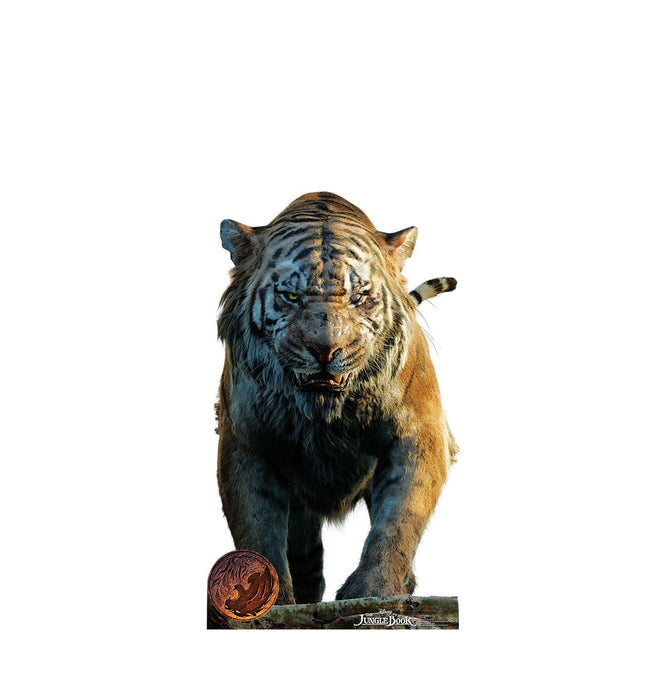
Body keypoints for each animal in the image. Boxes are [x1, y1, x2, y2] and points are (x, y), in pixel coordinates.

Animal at [215, 191, 457, 605]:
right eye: (290, 296)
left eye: (359, 297)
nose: (325, 350)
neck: (324, 413)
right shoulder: (246, 445)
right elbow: (258, 530)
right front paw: (271, 603)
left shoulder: (417, 434)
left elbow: (398, 522)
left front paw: (374, 591)